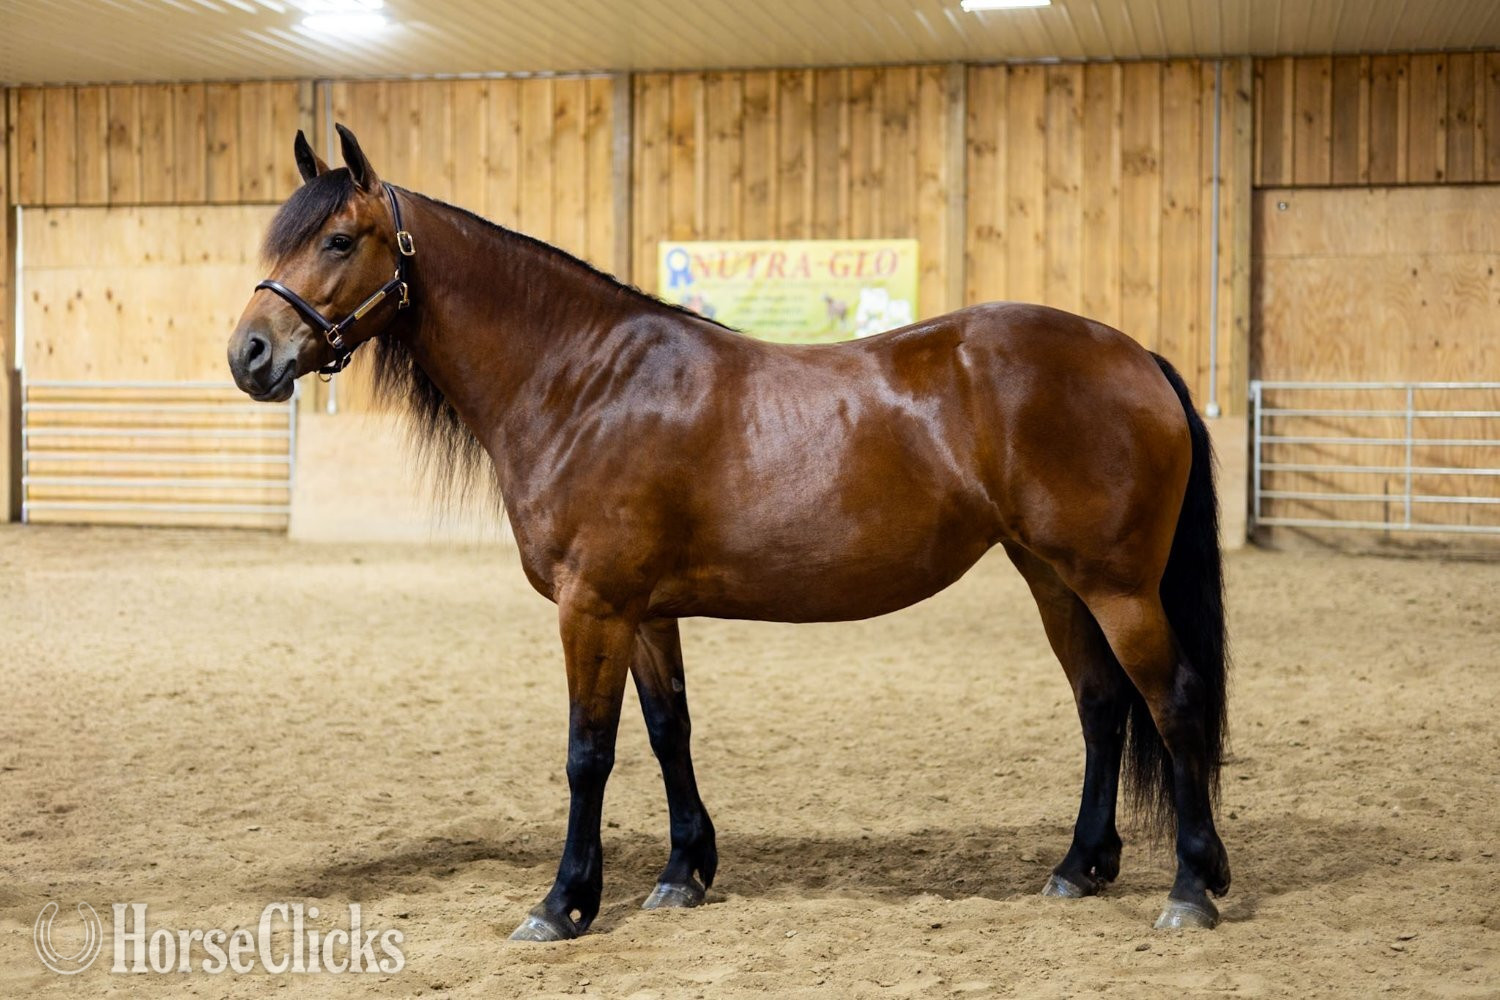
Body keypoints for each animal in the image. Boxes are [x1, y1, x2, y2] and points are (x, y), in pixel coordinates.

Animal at [228, 126, 1231, 942]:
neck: (583, 382)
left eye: (338, 239)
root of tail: (1135, 355)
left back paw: (1191, 887)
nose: (249, 355)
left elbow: (588, 753)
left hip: (1116, 586)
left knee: (1173, 701)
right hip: (1052, 577)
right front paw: (683, 873)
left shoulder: (591, 607)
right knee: (1101, 705)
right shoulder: (641, 611)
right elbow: (670, 729)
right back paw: (1079, 868)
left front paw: (565, 904)